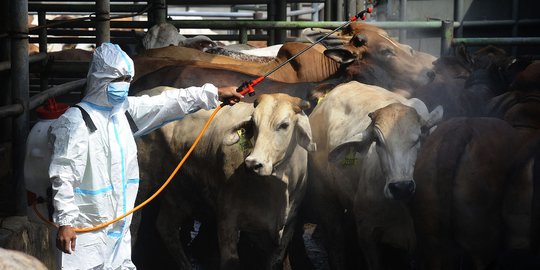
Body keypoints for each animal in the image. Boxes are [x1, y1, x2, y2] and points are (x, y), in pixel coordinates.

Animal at [132, 88, 316, 268]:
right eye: (254, 123)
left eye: (284, 125)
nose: (253, 164)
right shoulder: (227, 220)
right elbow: (230, 262)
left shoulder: (287, 229)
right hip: (142, 185)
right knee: (134, 224)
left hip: (179, 194)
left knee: (166, 228)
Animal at [304, 81, 442, 268]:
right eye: (377, 140)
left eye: (419, 138)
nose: (401, 187)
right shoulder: (367, 233)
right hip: (325, 201)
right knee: (336, 245)